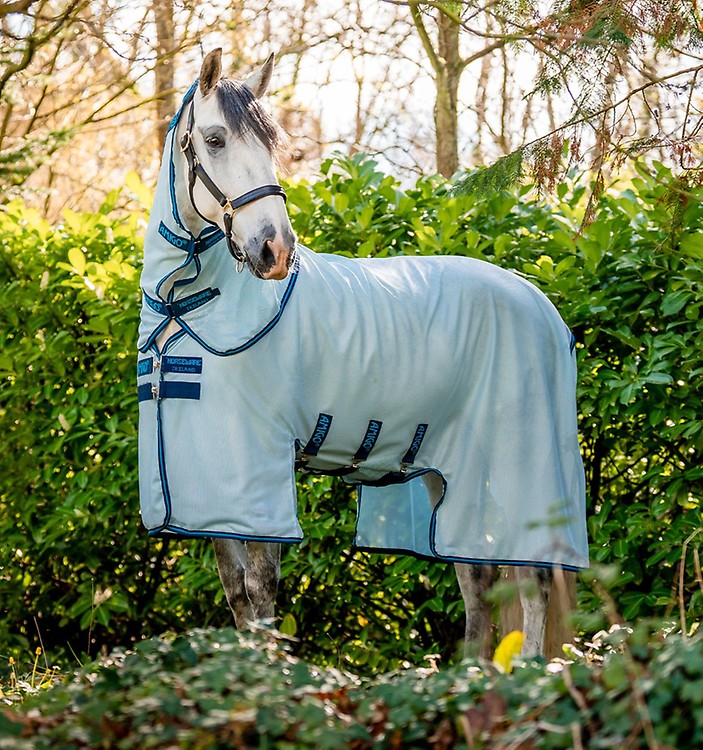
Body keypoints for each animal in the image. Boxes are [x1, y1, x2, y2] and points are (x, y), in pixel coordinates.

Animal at [137, 48, 589, 660]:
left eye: (272, 144)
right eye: (214, 139)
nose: (276, 249)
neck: (187, 309)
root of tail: (543, 307)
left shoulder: (260, 478)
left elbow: (261, 591)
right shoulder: (210, 491)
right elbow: (237, 593)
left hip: (521, 476)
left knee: (533, 583)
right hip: (451, 476)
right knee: (478, 581)